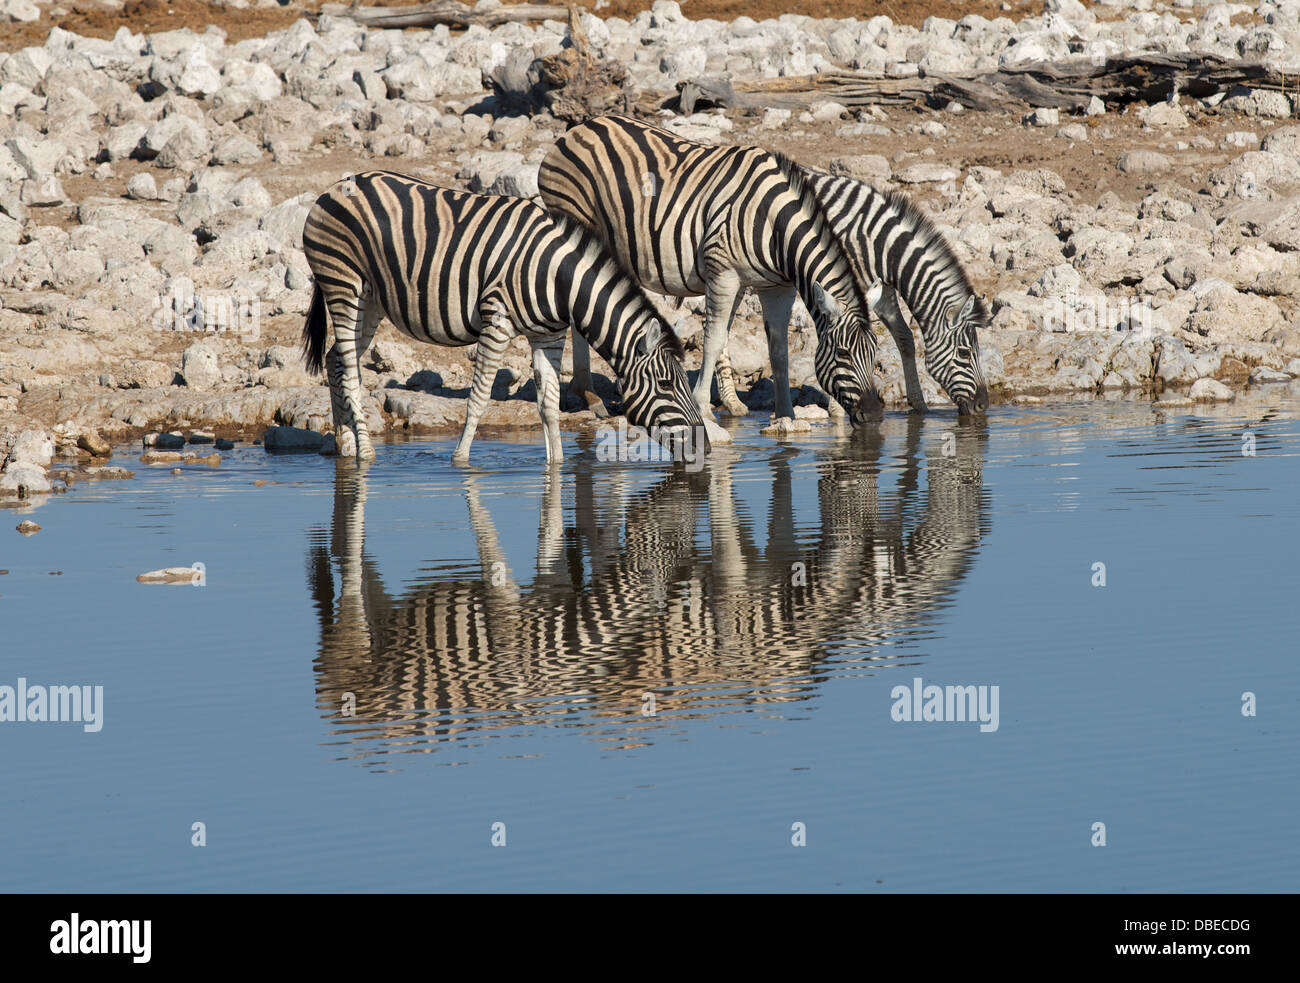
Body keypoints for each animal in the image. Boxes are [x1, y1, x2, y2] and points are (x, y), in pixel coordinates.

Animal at [301, 169, 709, 465]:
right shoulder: (496, 321)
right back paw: (366, 453)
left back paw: (344, 445)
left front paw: (557, 464)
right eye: (667, 385)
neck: (559, 279)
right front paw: (461, 460)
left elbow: (549, 404)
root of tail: (334, 187)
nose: (703, 448)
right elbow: (480, 397)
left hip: (371, 300)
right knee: (349, 368)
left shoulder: (548, 335)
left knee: (335, 359)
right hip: (342, 283)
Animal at [537, 113, 881, 425]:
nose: (874, 415)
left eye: (875, 354)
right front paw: (702, 406)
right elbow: (713, 340)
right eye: (844, 354)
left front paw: (785, 416)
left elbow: (778, 351)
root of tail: (576, 130)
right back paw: (589, 395)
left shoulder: (776, 287)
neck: (774, 225)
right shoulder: (724, 273)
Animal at [713, 173, 991, 417]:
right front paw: (837, 408)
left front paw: (919, 404)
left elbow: (904, 337)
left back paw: (732, 403)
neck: (878, 243)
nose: (982, 406)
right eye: (965, 353)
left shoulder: (881, 289)